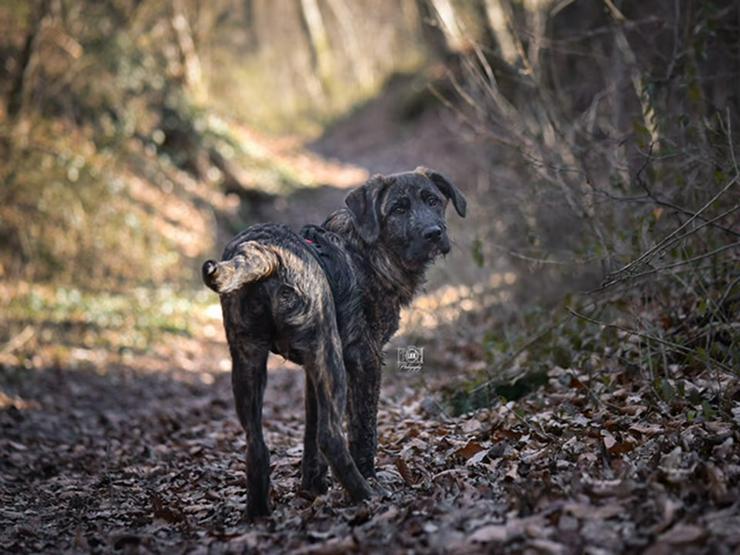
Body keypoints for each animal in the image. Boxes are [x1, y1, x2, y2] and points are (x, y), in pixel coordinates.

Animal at [201, 167, 468, 520]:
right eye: (398, 208)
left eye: (433, 200)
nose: (433, 233)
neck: (367, 252)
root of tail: (268, 254)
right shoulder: (364, 358)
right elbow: (362, 429)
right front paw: (368, 476)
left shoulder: (311, 370)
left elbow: (310, 434)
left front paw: (313, 487)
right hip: (331, 359)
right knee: (331, 435)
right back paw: (365, 494)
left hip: (250, 360)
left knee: (257, 443)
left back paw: (258, 513)